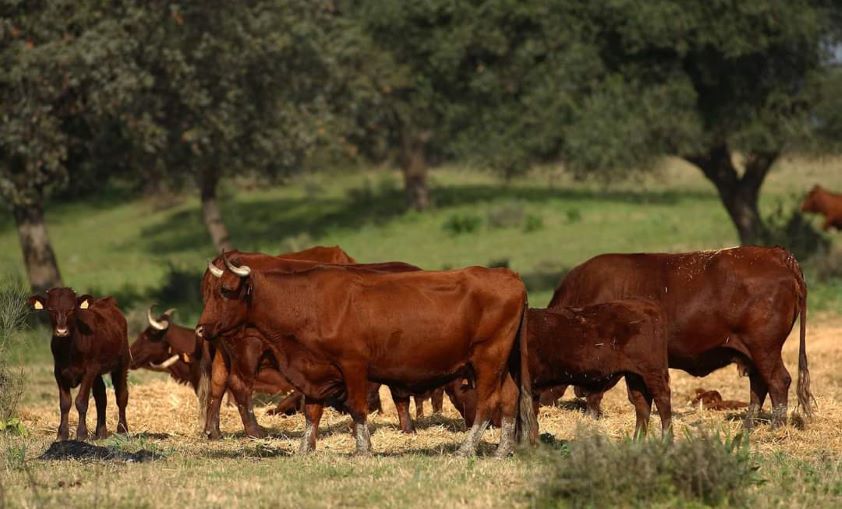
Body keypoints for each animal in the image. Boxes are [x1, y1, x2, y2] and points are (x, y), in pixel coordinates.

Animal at [29, 288, 130, 438]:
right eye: (51, 309)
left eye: (72, 309)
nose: (61, 331)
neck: (69, 349)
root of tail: (107, 302)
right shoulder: (59, 372)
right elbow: (65, 403)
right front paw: (62, 434)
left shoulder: (89, 371)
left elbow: (81, 401)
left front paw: (82, 434)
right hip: (97, 372)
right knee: (101, 397)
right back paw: (101, 432)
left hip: (122, 363)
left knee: (121, 395)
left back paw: (122, 430)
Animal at [446, 302, 668, 436]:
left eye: (460, 391)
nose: (468, 423)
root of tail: (646, 307)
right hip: (635, 376)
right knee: (642, 405)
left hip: (653, 372)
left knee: (663, 401)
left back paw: (667, 438)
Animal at [548, 245, 812, 424]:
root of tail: (776, 254)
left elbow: (595, 394)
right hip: (752, 353)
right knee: (759, 385)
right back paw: (748, 425)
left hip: (764, 349)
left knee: (778, 381)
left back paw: (776, 427)